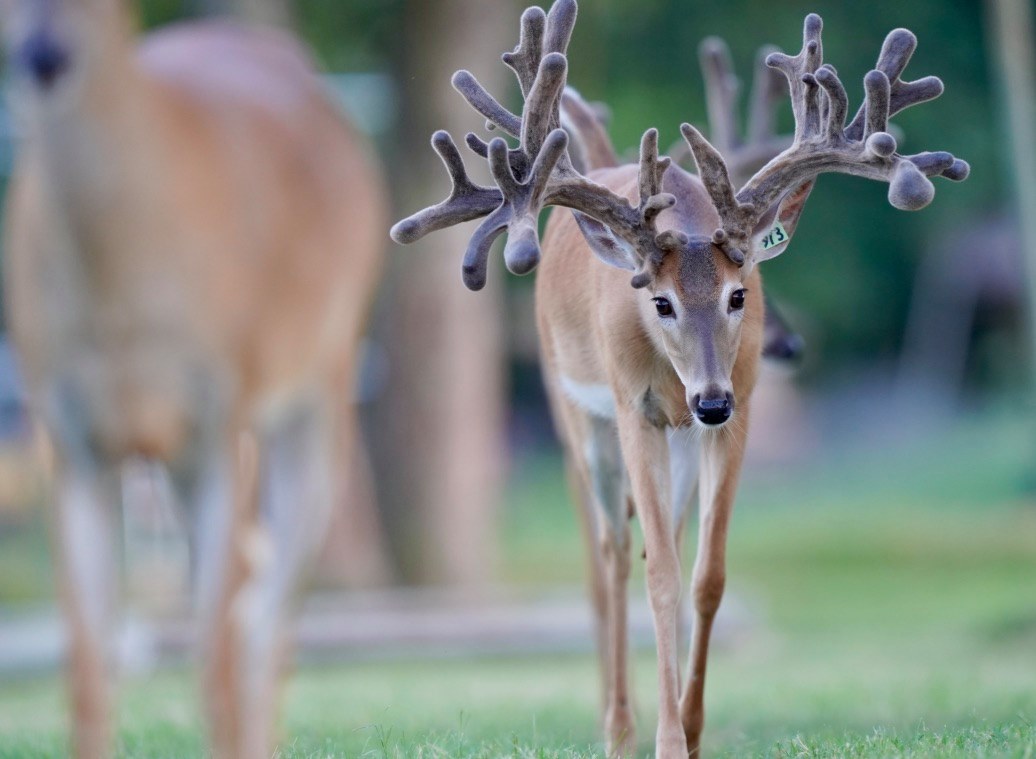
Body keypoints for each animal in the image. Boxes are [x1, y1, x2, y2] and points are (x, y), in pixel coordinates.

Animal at [1, 1, 385, 757]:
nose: (45, 57)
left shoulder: (220, 412)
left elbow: (215, 661)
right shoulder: (66, 435)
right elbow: (88, 668)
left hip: (320, 388)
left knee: (265, 621)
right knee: (254, 599)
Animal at [392, 2, 968, 756]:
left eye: (739, 294)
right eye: (659, 301)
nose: (711, 398)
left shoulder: (740, 410)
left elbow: (707, 575)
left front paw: (693, 731)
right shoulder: (635, 408)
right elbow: (658, 574)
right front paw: (665, 737)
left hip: (681, 440)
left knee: (652, 538)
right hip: (577, 415)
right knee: (609, 554)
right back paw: (618, 724)